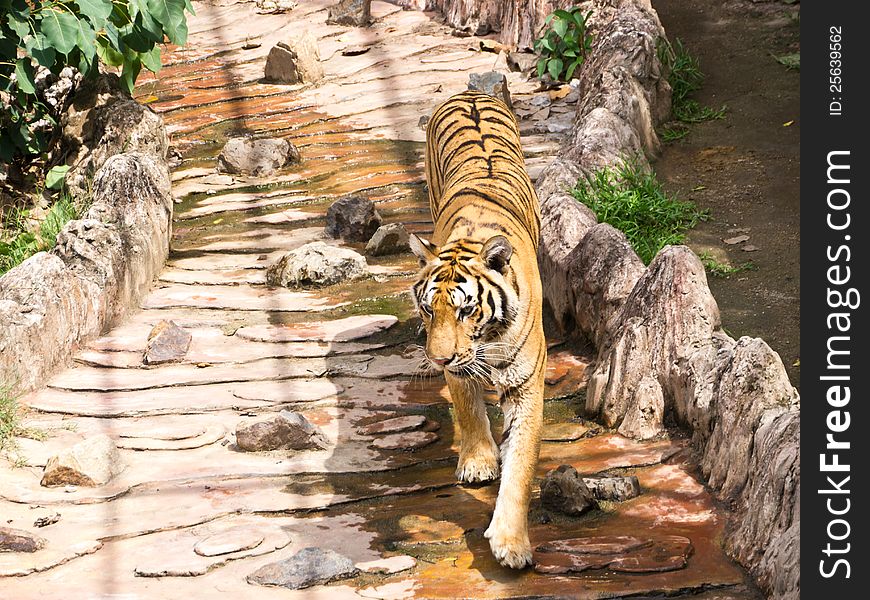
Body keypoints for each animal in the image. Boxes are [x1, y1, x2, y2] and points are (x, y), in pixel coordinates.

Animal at [408, 89, 544, 568]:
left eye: (466, 310)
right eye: (429, 311)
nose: (437, 358)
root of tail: (469, 92)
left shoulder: (527, 382)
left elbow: (521, 462)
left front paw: (511, 543)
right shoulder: (456, 365)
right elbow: (468, 407)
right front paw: (479, 462)